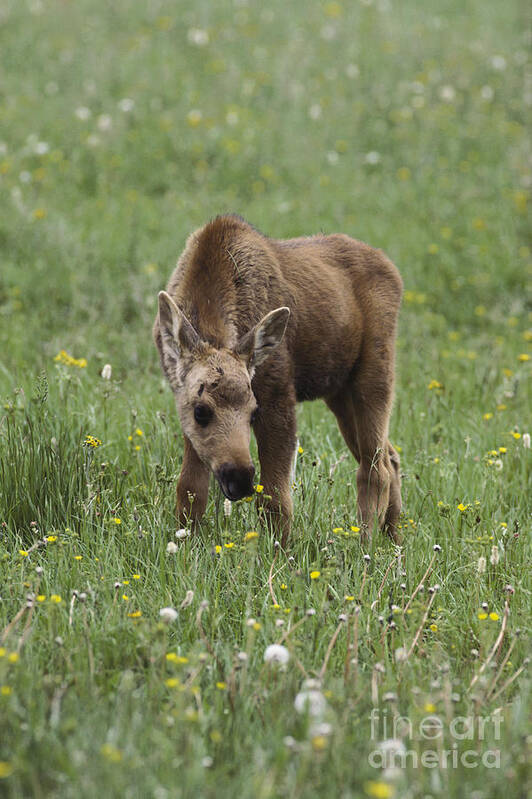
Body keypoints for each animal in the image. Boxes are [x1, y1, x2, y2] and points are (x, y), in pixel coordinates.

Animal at [154, 214, 404, 544]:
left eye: (253, 411)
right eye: (201, 411)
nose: (240, 479)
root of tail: (393, 271)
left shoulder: (278, 395)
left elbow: (274, 498)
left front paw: (281, 552)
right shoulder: (184, 404)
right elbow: (190, 490)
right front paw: (186, 544)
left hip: (375, 371)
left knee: (375, 468)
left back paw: (366, 547)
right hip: (339, 391)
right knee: (390, 456)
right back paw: (395, 541)